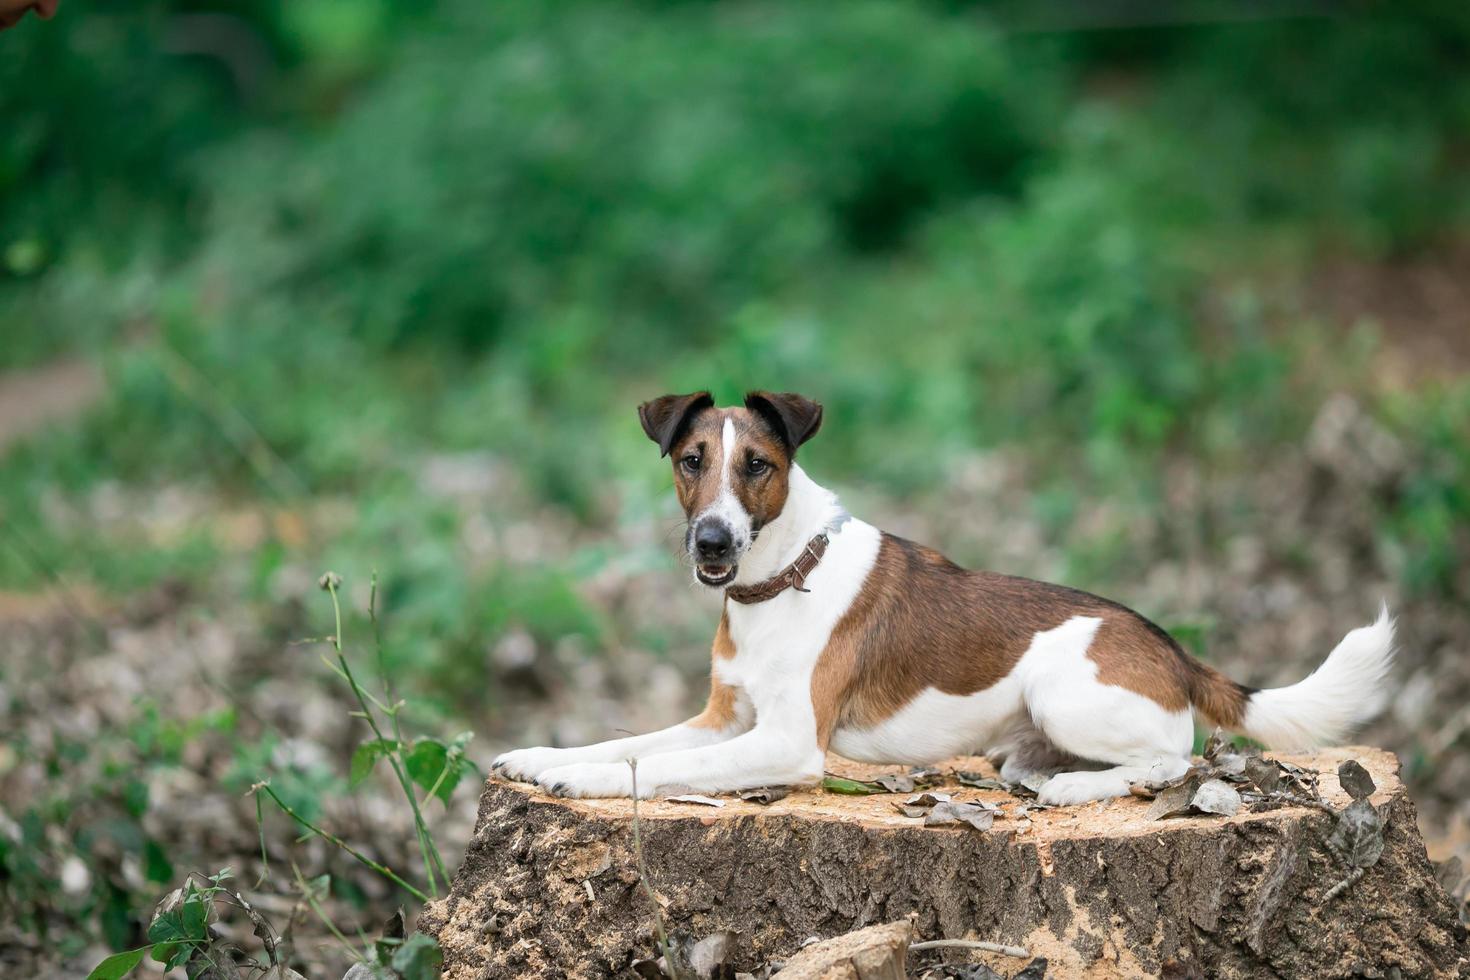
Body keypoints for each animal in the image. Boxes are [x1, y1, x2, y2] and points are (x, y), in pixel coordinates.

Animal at [490, 390, 1387, 805]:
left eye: (757, 467)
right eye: (691, 461)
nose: (711, 542)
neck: (780, 582)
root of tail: (1172, 648)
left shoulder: (786, 743)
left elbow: (652, 765)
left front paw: (586, 784)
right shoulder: (723, 719)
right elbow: (627, 743)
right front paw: (541, 759)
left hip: (1061, 689)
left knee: (1174, 759)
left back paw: (1076, 789)